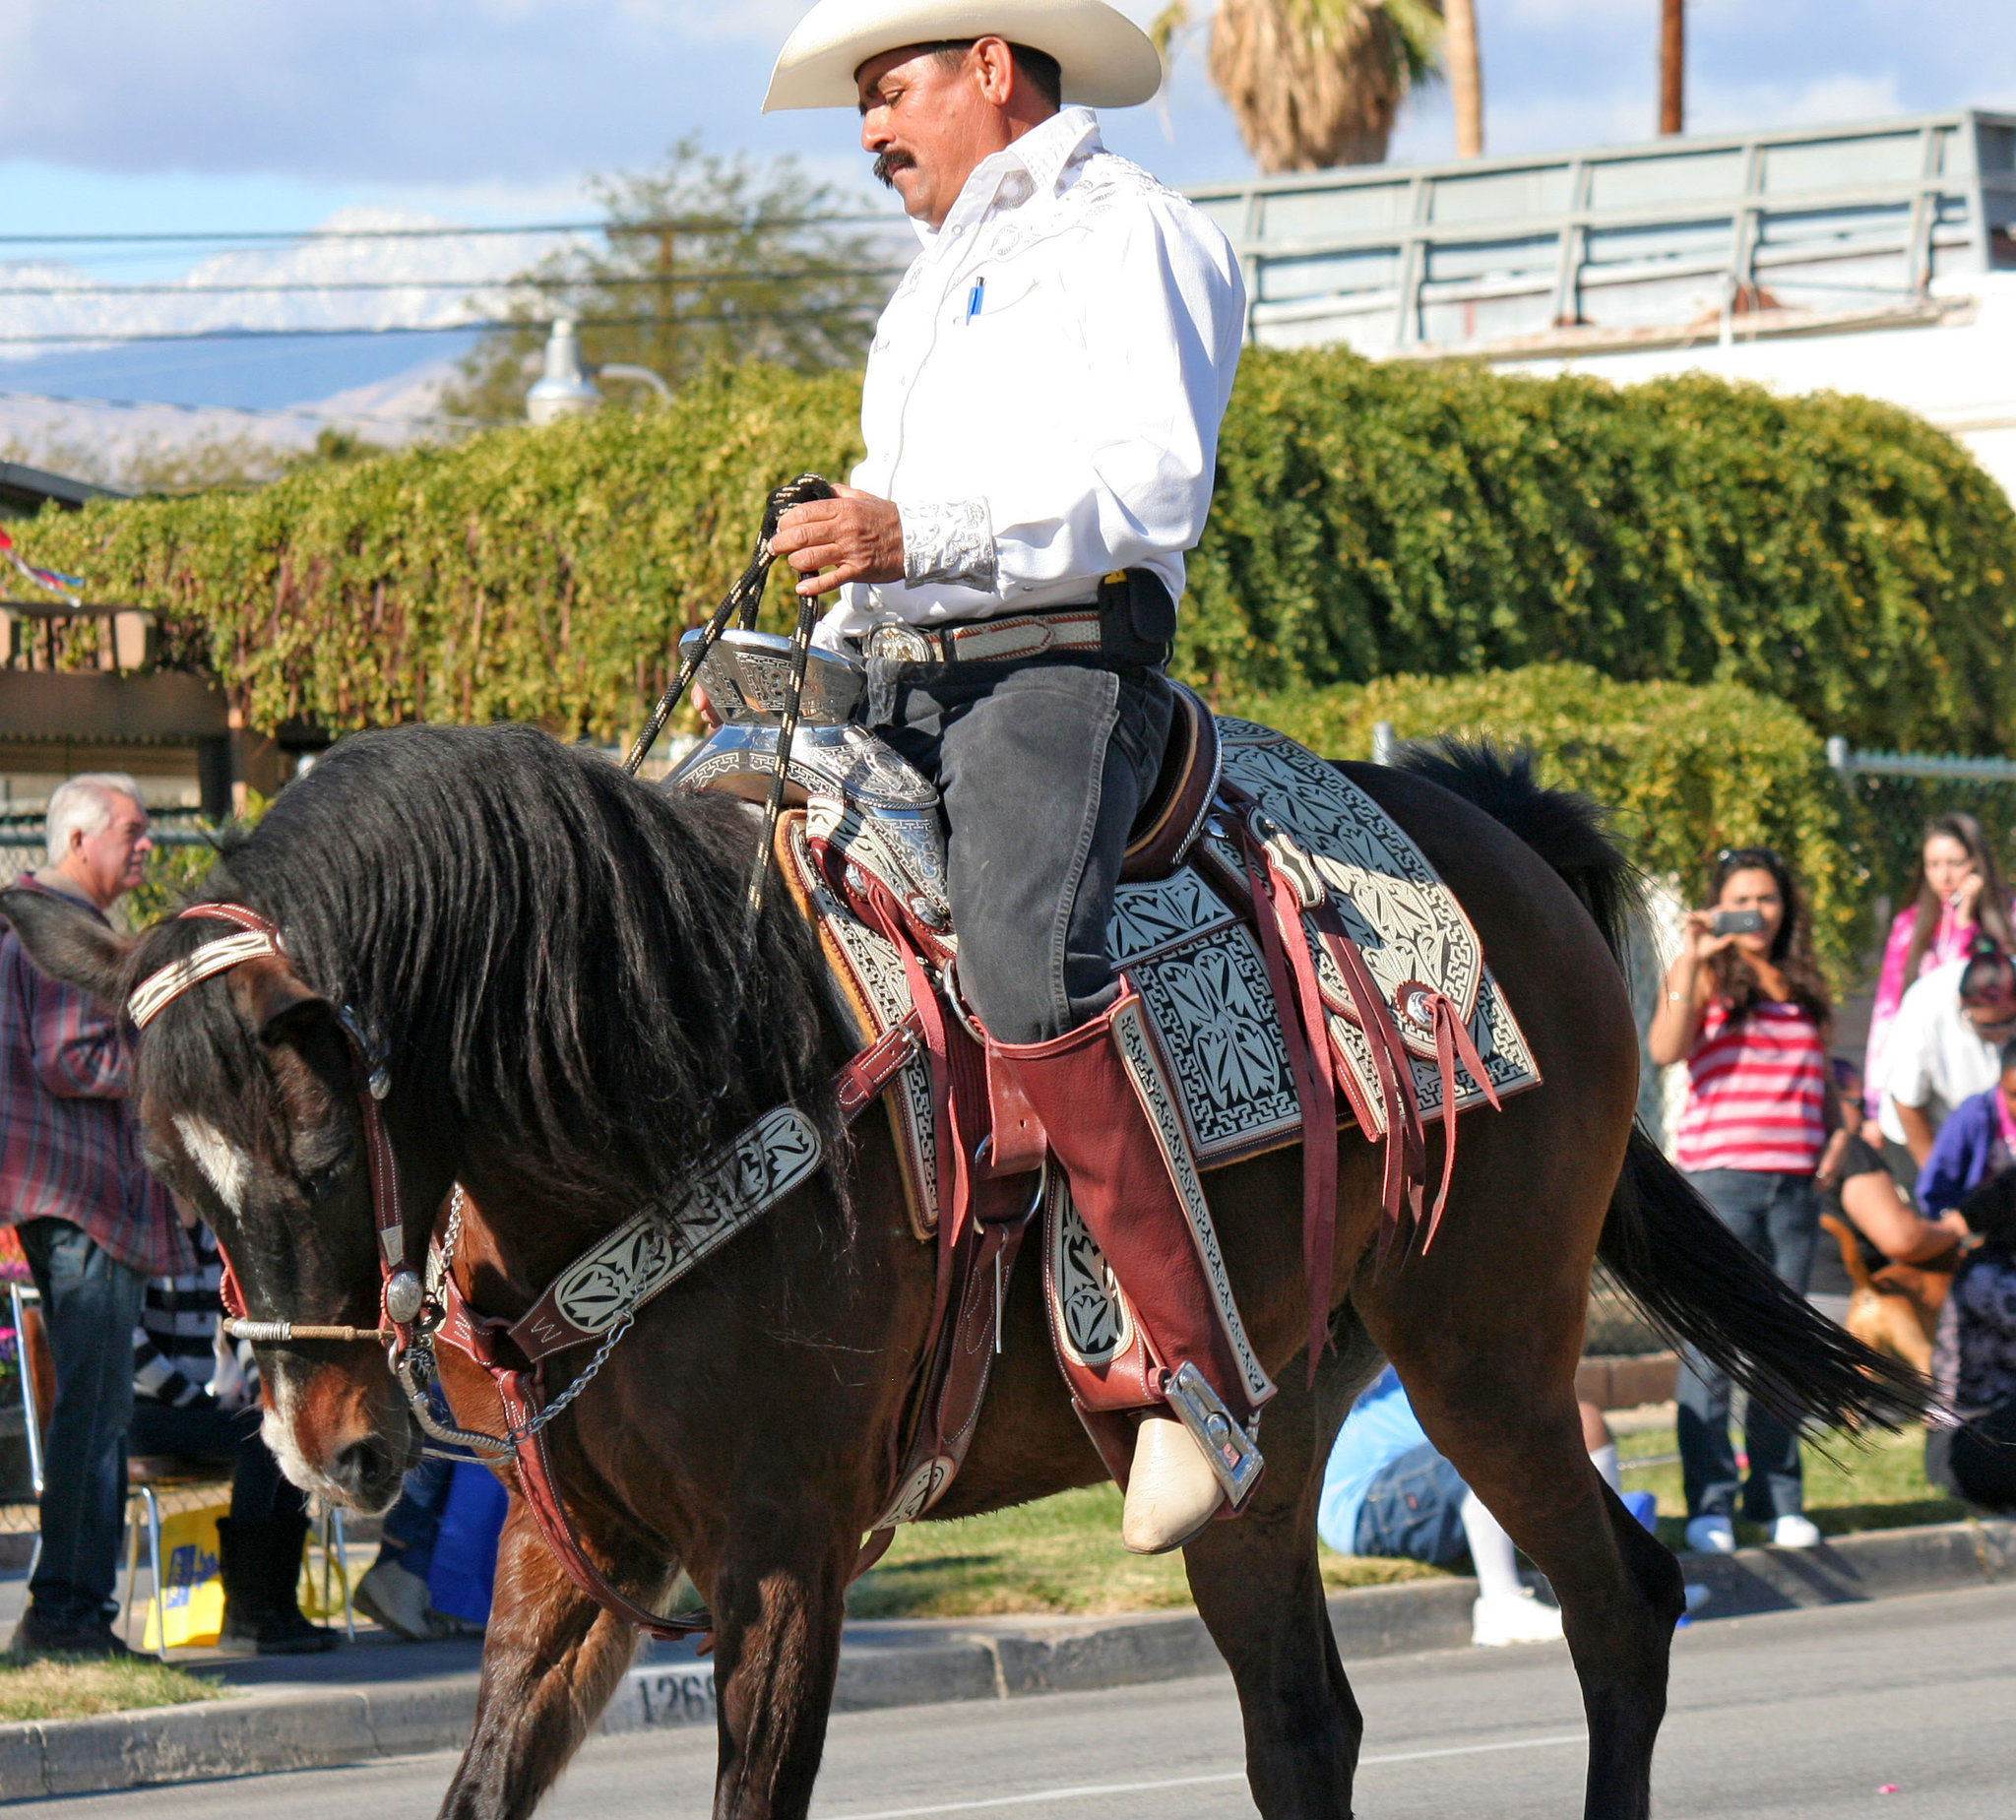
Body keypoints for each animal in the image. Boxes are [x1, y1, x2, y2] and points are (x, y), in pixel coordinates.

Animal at [0, 725, 1911, 1820]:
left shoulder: (779, 1557)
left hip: (1489, 1357)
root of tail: (1500, 831)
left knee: (1623, 1611)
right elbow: (478, 1790)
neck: (678, 1078)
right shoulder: (570, 1555)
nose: (324, 1445)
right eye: (167, 1171)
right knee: (1306, 1723)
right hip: (1264, 1435)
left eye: (326, 1153)